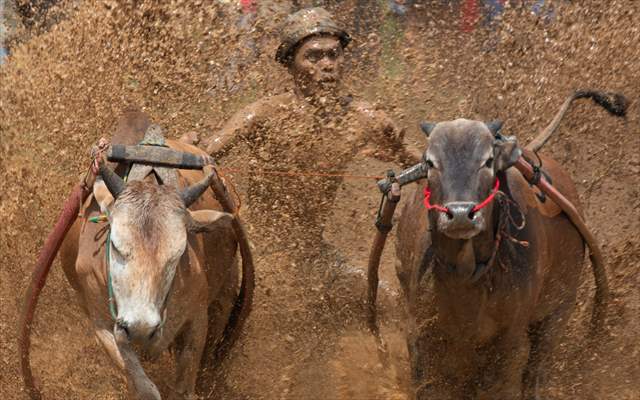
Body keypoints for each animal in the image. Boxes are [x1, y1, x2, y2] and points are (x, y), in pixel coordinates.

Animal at [390, 91, 624, 400]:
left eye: (488, 160)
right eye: (430, 163)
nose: (461, 214)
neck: (466, 276)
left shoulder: (507, 338)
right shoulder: (419, 332)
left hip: (557, 313)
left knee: (534, 373)